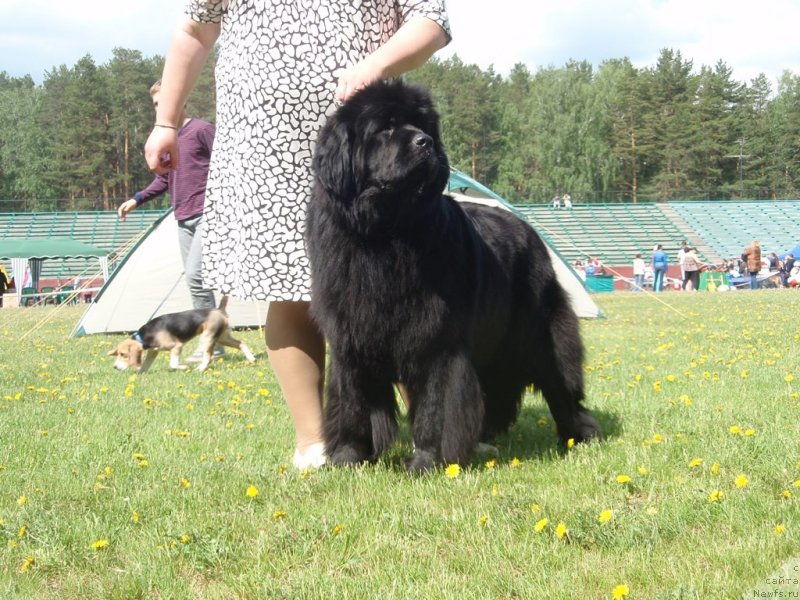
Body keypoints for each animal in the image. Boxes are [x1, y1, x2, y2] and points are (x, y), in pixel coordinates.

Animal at [108, 298, 255, 372]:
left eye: (123, 354)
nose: (115, 367)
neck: (145, 336)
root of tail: (219, 310)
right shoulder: (153, 352)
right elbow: (144, 366)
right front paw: (139, 375)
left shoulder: (177, 346)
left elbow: (173, 364)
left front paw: (184, 367)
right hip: (222, 337)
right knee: (241, 343)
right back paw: (251, 358)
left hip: (207, 337)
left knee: (208, 356)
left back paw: (199, 369)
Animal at [308, 81, 600, 474]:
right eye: (386, 127)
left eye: (423, 126)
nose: (425, 143)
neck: (385, 236)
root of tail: (528, 229)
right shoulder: (351, 337)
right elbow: (352, 401)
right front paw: (348, 457)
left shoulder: (439, 341)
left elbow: (437, 403)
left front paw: (427, 460)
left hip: (539, 335)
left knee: (560, 385)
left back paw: (577, 434)